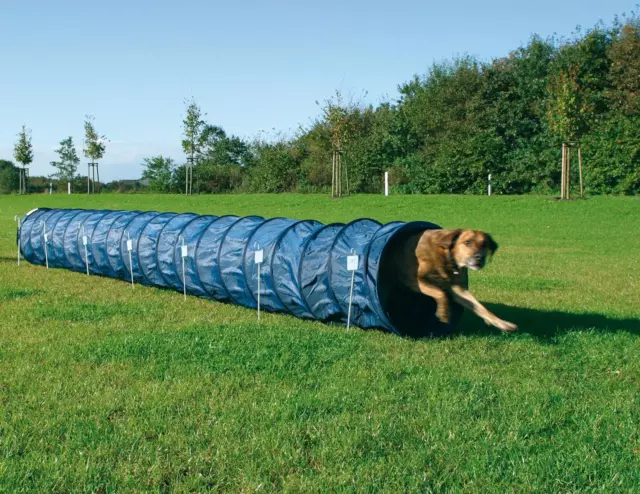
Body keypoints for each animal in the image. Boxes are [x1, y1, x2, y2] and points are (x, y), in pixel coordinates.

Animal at [384, 231, 516, 332]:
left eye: (484, 244)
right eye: (467, 242)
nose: (480, 257)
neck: (446, 258)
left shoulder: (458, 290)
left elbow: (480, 307)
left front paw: (503, 323)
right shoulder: (414, 280)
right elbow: (441, 293)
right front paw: (444, 314)